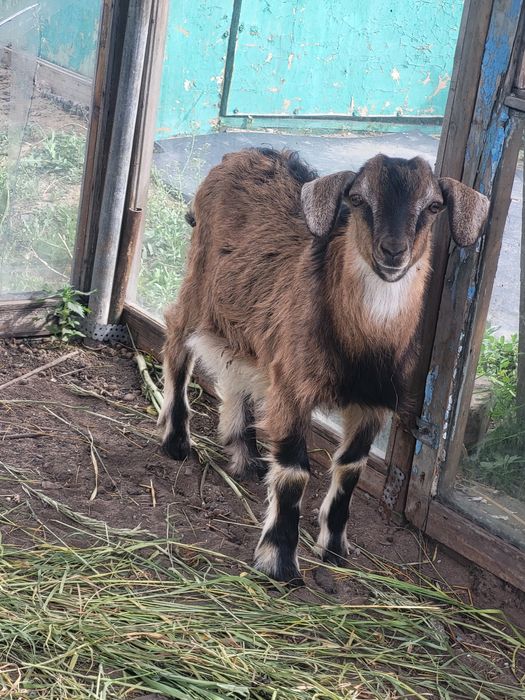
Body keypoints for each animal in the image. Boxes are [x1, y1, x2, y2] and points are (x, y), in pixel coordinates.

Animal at [158, 148, 489, 583]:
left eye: (434, 206)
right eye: (358, 199)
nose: (392, 251)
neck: (362, 349)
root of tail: (239, 155)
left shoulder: (372, 404)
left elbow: (350, 469)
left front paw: (333, 549)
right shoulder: (292, 388)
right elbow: (295, 471)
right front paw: (279, 561)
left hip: (245, 317)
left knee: (236, 367)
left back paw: (245, 456)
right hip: (200, 280)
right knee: (177, 335)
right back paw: (177, 440)